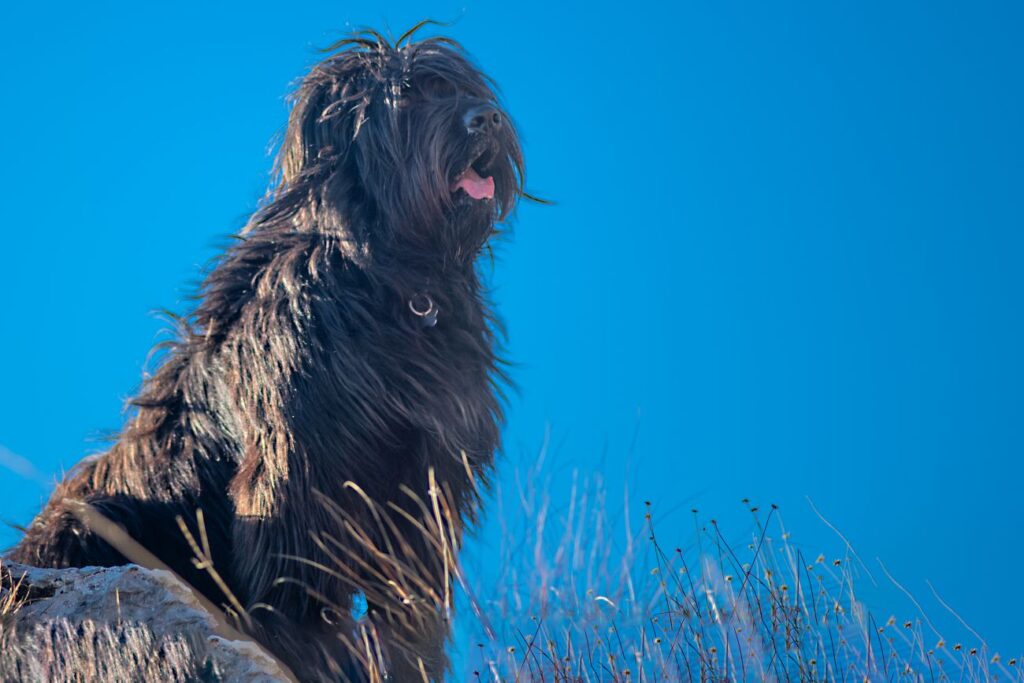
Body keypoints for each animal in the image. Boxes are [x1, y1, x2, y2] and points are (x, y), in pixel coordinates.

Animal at [9, 24, 528, 679]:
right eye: (406, 96)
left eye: (457, 88)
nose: (486, 118)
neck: (387, 279)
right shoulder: (298, 457)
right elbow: (294, 552)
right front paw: (308, 643)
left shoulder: (427, 469)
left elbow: (407, 585)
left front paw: (407, 655)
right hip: (101, 516)